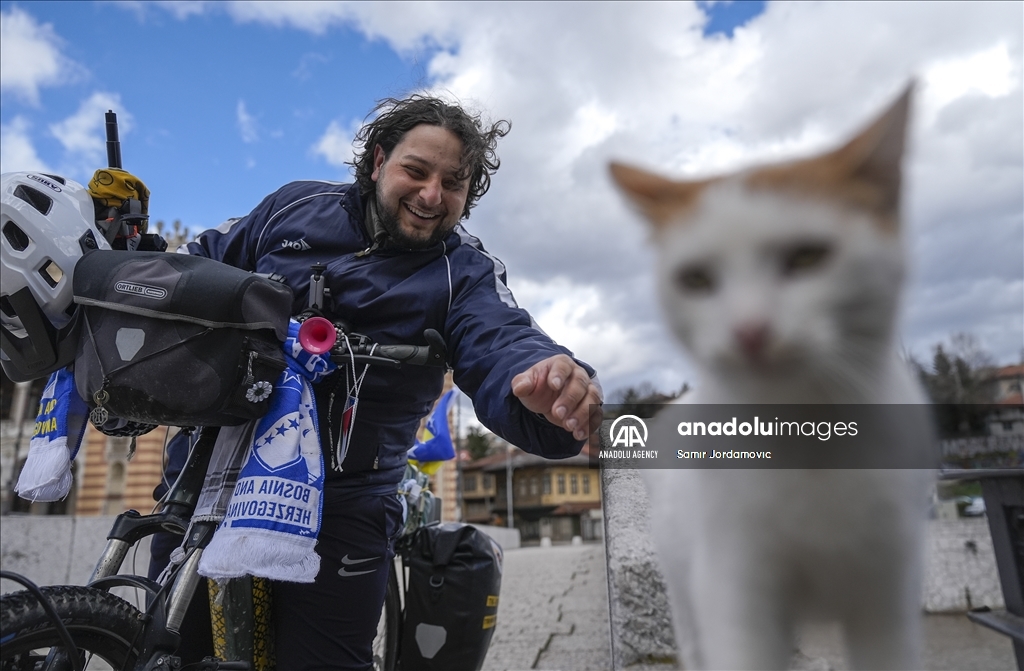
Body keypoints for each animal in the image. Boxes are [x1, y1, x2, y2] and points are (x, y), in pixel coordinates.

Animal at [610, 85, 933, 671]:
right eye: (696, 279)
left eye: (807, 257)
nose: (750, 330)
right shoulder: (735, 589)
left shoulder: (889, 593)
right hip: (684, 579)